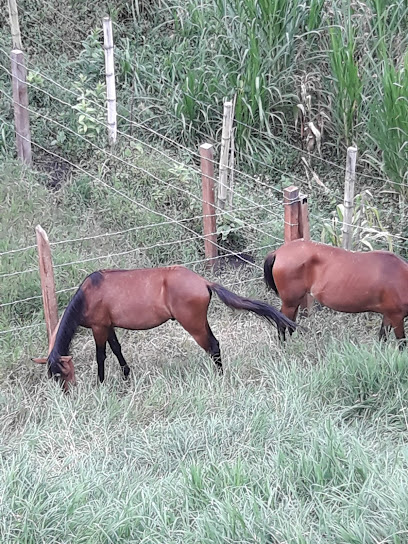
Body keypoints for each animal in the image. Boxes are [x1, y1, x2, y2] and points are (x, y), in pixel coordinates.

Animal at [33, 264, 294, 388]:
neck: (87, 295)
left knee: (213, 346)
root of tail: (203, 282)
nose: (66, 394)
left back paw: (220, 377)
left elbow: (101, 356)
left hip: (193, 324)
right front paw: (126, 375)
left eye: (62, 374)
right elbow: (116, 349)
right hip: (199, 321)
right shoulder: (108, 326)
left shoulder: (98, 327)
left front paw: (101, 383)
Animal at [262, 239, 408, 344]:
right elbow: (402, 343)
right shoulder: (397, 316)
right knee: (281, 322)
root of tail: (277, 252)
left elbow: (382, 338)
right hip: (290, 302)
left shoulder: (388, 315)